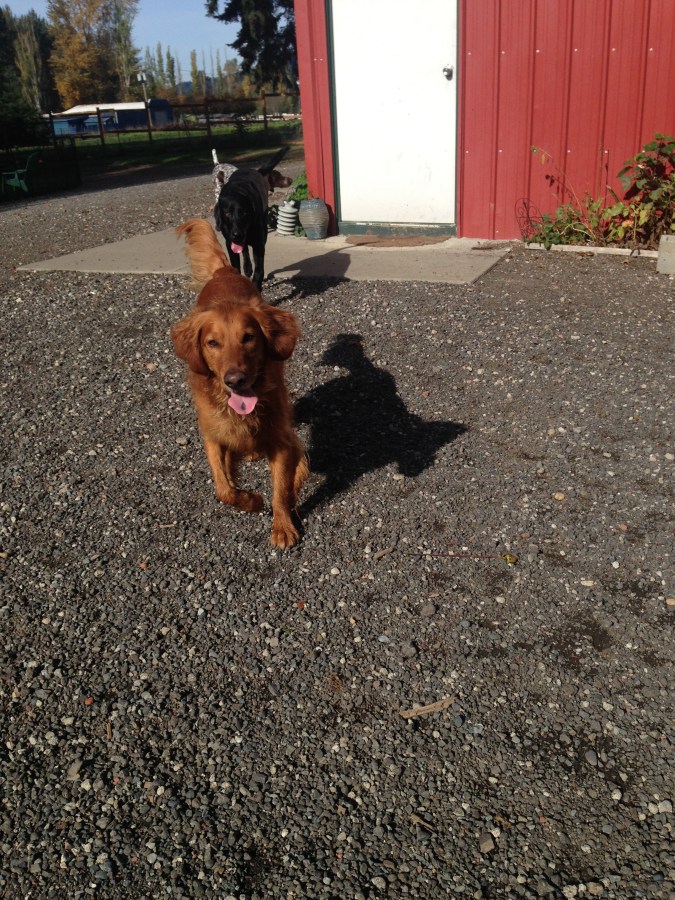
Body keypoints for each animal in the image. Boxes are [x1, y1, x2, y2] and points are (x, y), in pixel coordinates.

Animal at [172, 217, 308, 549]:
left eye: (248, 337)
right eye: (212, 343)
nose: (235, 380)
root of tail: (226, 271)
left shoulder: (282, 440)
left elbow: (281, 488)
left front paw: (282, 526)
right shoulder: (212, 435)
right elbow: (224, 489)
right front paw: (250, 500)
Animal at [213, 146, 292, 291]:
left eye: (244, 212)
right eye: (227, 213)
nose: (237, 234)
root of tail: (255, 170)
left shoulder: (259, 244)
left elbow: (259, 271)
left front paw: (256, 287)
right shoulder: (230, 243)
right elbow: (236, 265)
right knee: (244, 249)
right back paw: (247, 267)